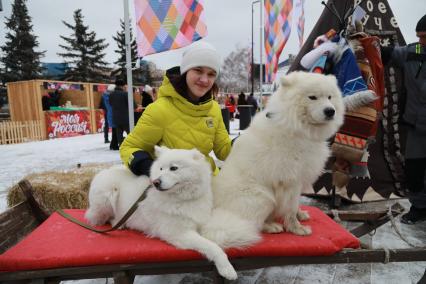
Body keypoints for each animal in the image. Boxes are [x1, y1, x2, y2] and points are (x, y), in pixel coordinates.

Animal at [85, 148, 246, 280]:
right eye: (161, 168)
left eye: (174, 168)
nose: (156, 182)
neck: (183, 199)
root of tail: (102, 171)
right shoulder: (178, 233)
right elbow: (212, 246)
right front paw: (227, 268)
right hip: (108, 196)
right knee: (100, 219)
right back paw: (119, 223)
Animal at [211, 70, 344, 237]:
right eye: (312, 97)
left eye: (330, 97)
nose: (330, 111)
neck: (297, 127)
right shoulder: (290, 179)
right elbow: (291, 208)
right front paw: (296, 228)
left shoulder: (299, 178)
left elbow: (297, 202)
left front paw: (300, 215)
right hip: (264, 197)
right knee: (250, 225)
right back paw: (271, 226)